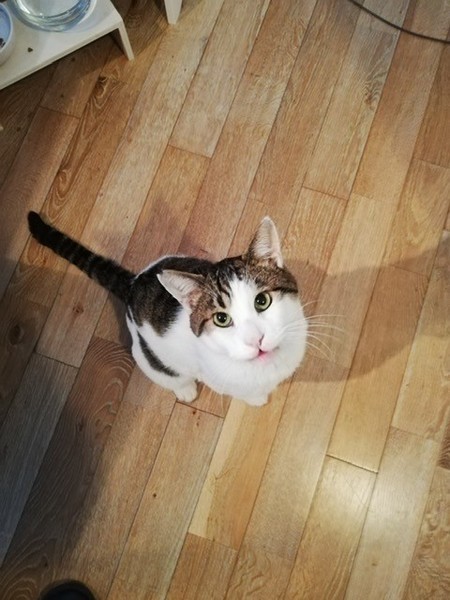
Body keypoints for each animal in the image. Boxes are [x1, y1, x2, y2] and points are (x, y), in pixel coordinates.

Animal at [28, 212, 307, 406]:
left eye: (262, 301)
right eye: (221, 318)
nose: (256, 340)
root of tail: (133, 283)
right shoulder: (220, 379)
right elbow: (248, 392)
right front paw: (258, 399)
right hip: (147, 358)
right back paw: (185, 390)